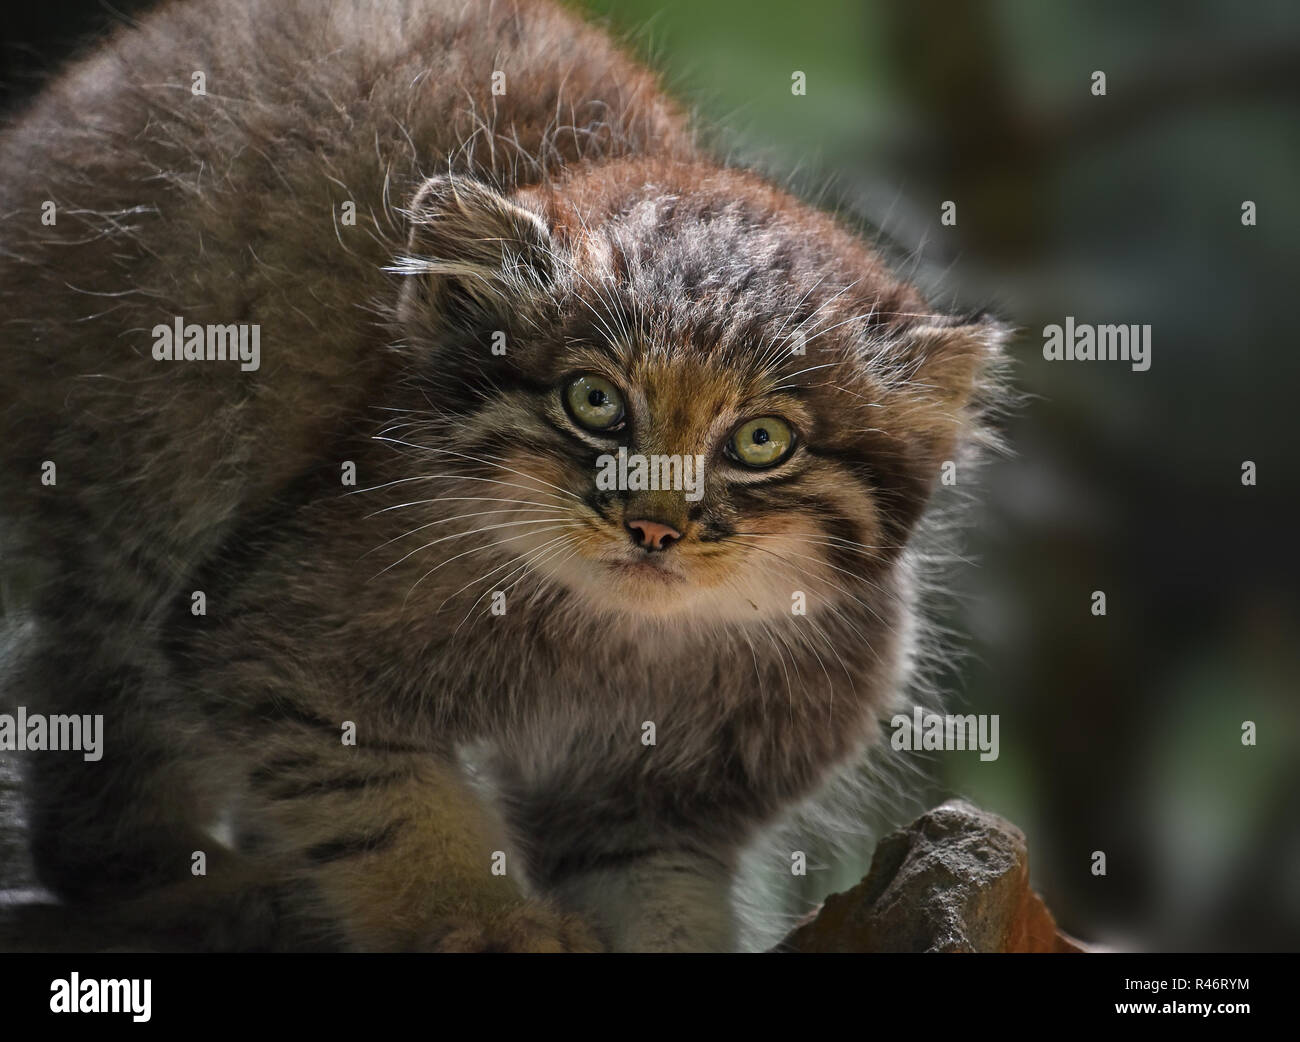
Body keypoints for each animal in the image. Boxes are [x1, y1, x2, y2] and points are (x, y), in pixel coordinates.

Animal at [0, 0, 1003, 951]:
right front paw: (488, 923)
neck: (616, 645)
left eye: (760, 442)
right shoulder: (271, 643)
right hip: (141, 479)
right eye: (593, 402)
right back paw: (212, 889)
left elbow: (657, 896)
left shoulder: (657, 806)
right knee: (93, 792)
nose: (654, 526)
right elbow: (395, 817)